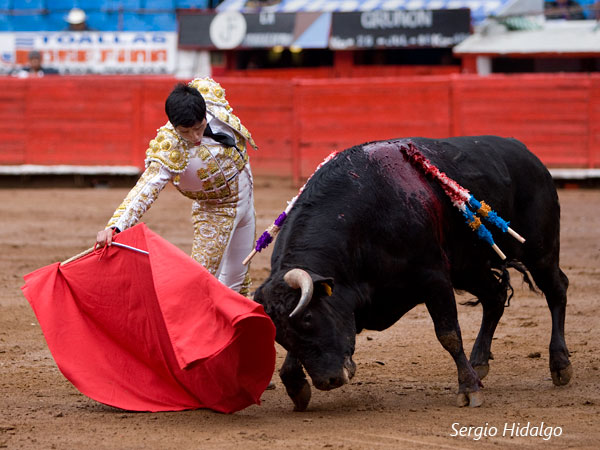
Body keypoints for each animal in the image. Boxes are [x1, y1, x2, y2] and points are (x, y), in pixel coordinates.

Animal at [253, 136, 572, 412]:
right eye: (280, 336)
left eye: (308, 318)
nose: (328, 381)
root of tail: (526, 153)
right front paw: (296, 386)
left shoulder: (433, 277)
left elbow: (448, 334)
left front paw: (468, 390)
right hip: (469, 267)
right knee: (494, 297)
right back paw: (479, 363)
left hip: (539, 251)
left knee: (557, 289)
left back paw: (560, 365)